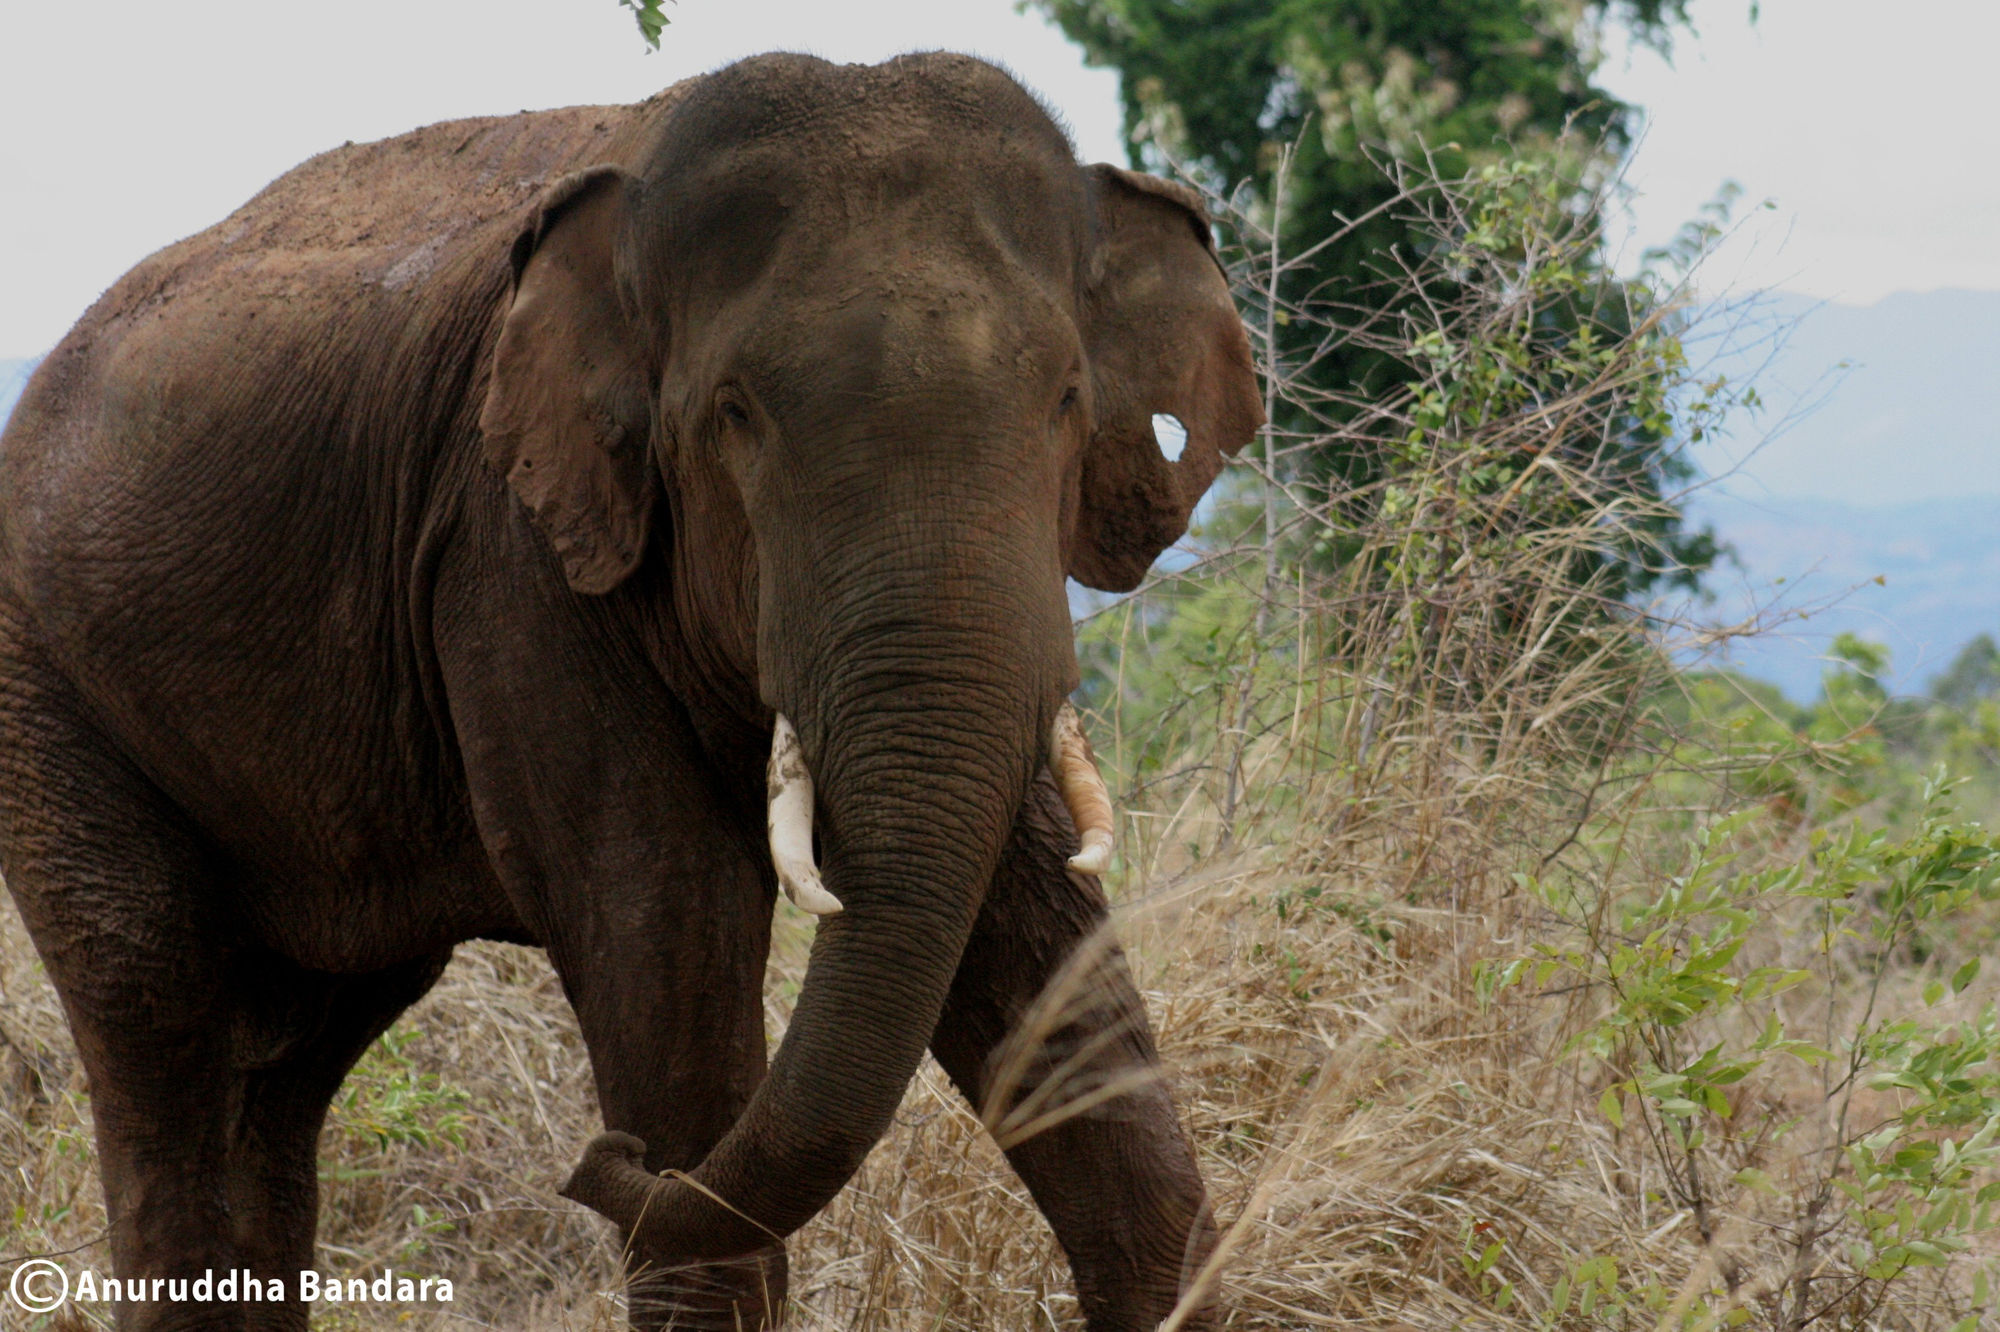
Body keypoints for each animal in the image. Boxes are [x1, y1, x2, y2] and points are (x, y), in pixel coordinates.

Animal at [0, 46, 1256, 1320]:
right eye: (734, 415)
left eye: (1065, 400)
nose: (601, 1158)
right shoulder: (514, 560)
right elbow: (658, 910)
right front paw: (669, 1159)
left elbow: (1036, 930)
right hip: (45, 687)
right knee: (158, 1012)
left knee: (281, 1055)